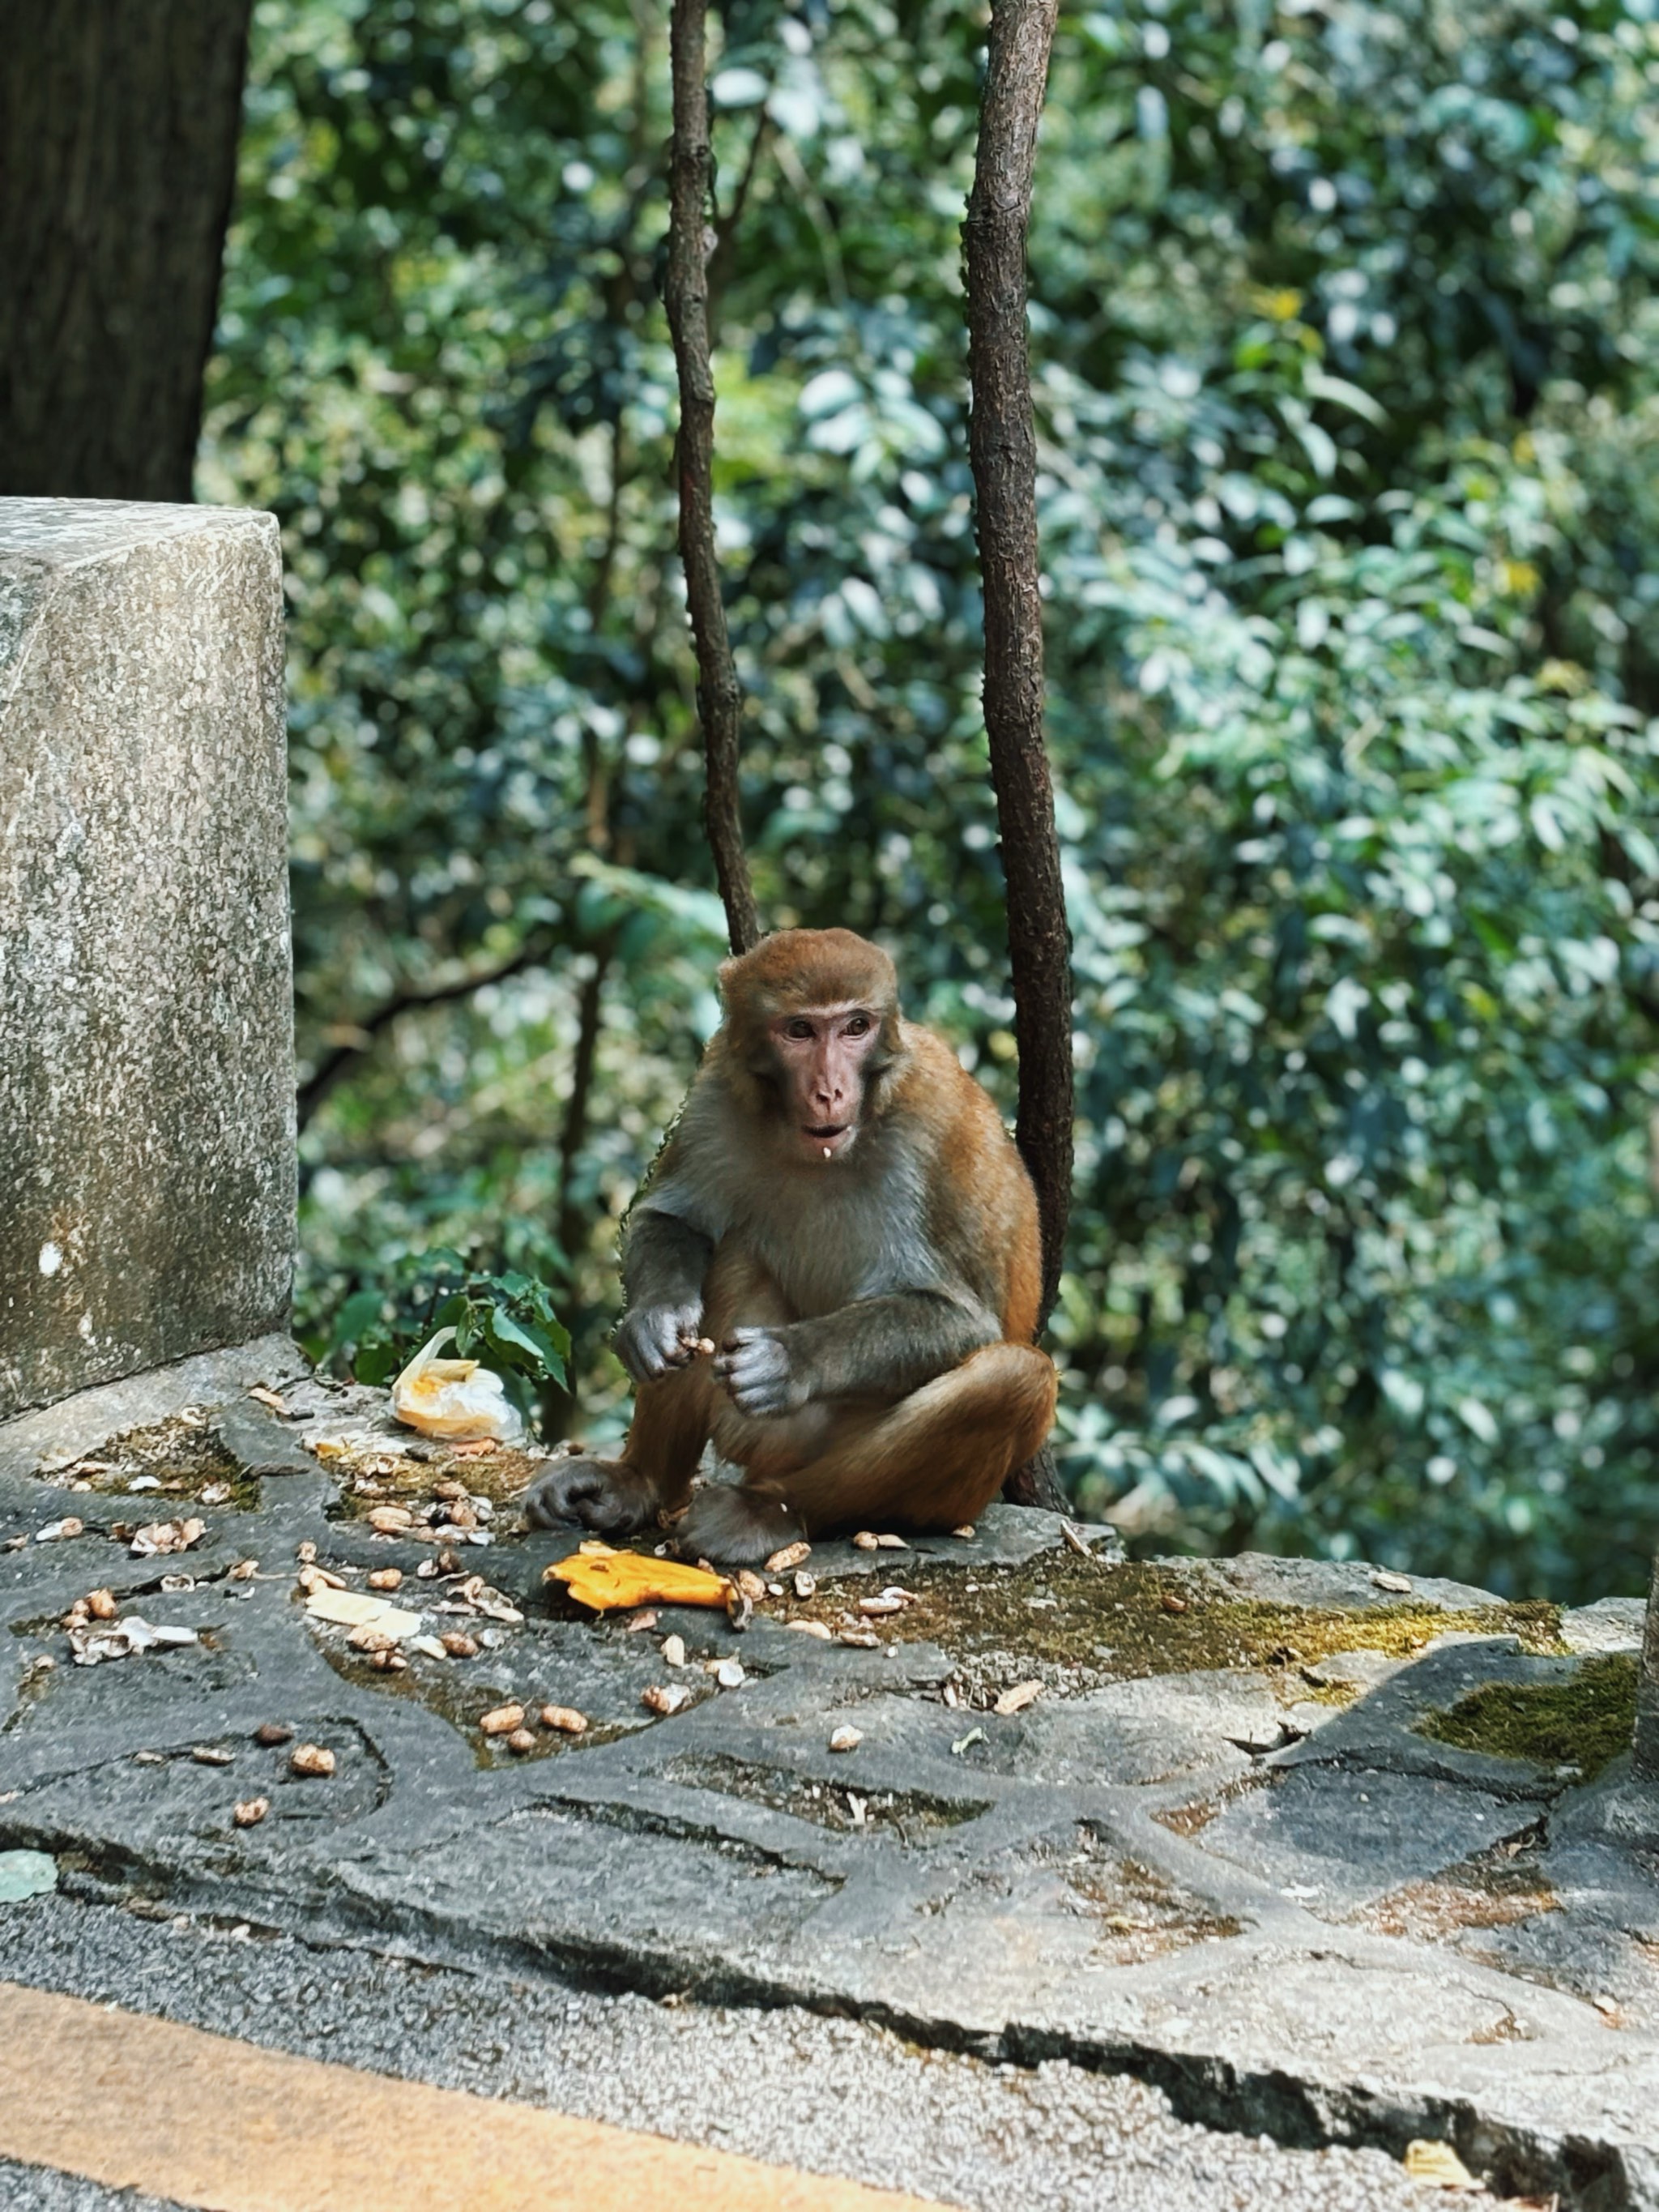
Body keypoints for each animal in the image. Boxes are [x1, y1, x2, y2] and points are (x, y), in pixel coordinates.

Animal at [526, 925, 1057, 1565]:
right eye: (800, 1030)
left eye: (856, 1026)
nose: (830, 1091)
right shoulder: (716, 1090)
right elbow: (673, 1221)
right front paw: (655, 1321)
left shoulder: (935, 1123)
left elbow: (965, 1320)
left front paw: (788, 1361)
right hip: (756, 1435)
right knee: (724, 1255)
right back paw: (639, 1484)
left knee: (1013, 1378)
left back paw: (772, 1511)